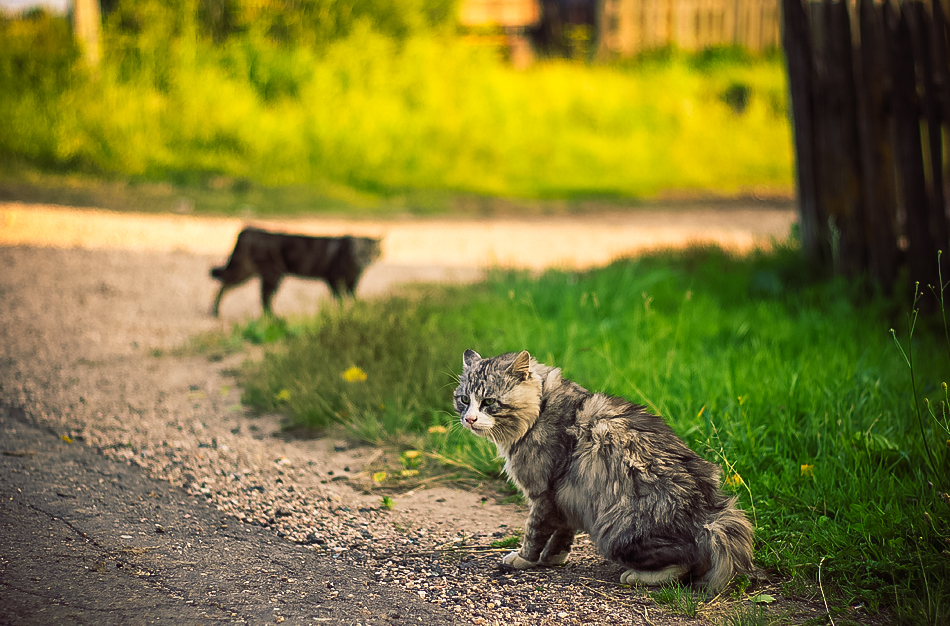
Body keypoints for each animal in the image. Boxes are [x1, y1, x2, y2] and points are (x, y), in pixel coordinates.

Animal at [456, 348, 760, 592]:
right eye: (463, 400)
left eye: (488, 402)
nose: (469, 419)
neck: (539, 410)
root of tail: (711, 515)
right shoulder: (566, 497)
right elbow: (562, 534)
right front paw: (554, 559)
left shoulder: (544, 494)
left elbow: (534, 532)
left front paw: (523, 559)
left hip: (614, 532)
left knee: (684, 564)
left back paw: (636, 577)